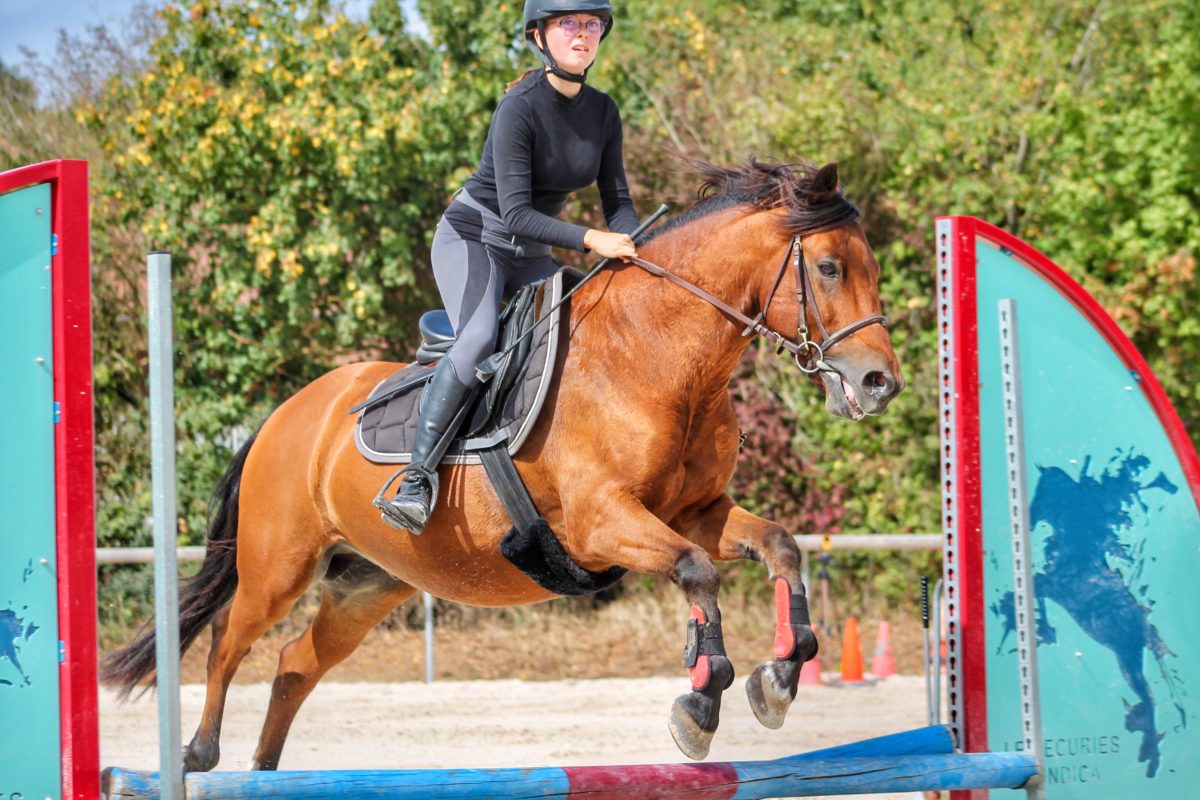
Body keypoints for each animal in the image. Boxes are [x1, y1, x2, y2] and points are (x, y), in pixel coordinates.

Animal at [101, 158, 903, 771]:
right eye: (829, 267)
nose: (880, 384)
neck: (657, 355)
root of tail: (286, 413)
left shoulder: (695, 513)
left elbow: (780, 547)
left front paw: (780, 677)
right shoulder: (602, 522)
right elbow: (696, 571)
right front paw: (701, 704)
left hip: (369, 583)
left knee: (296, 663)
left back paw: (265, 770)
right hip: (278, 565)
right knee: (226, 640)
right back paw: (200, 753)